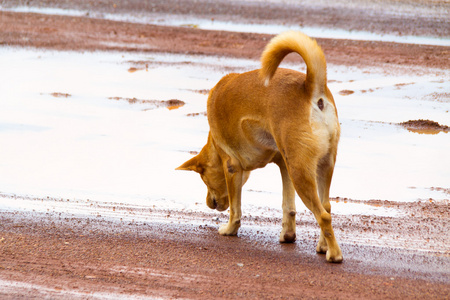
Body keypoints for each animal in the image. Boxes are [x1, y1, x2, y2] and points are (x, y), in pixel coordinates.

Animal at [178, 30, 342, 262]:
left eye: (204, 179)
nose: (209, 203)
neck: (215, 144)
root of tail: (310, 86)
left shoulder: (232, 167)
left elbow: (235, 210)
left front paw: (230, 229)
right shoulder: (284, 165)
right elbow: (288, 207)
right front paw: (287, 235)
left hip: (301, 173)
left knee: (324, 215)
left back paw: (334, 254)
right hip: (320, 168)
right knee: (326, 206)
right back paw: (323, 246)